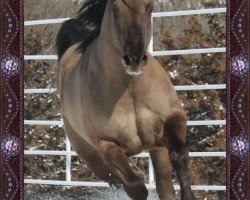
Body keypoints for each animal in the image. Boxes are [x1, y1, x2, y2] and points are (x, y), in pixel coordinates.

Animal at [56, 0, 195, 200]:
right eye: (114, 10)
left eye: (150, 8)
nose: (134, 59)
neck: (131, 89)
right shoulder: (107, 145)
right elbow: (136, 187)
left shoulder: (173, 118)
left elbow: (179, 154)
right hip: (94, 160)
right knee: (118, 184)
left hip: (157, 149)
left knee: (164, 185)